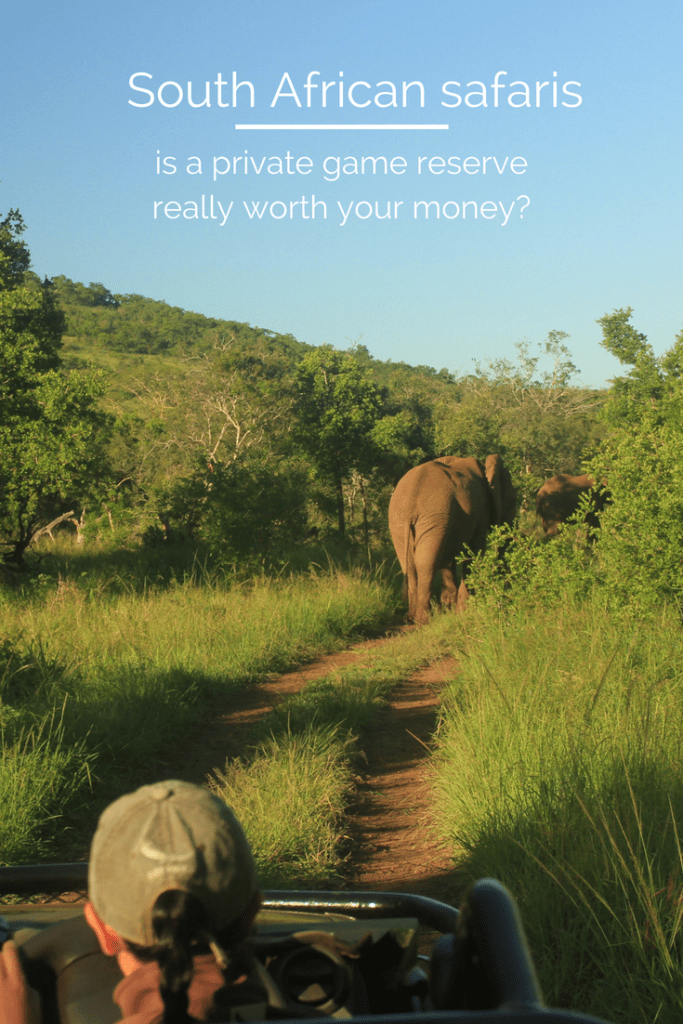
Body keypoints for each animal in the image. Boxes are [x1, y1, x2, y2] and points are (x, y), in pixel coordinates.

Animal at [389, 455, 517, 625]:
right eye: (513, 500)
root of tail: (410, 505)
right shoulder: (481, 510)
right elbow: (475, 551)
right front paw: (464, 612)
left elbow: (448, 558)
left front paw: (450, 609)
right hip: (434, 515)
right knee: (425, 562)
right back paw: (424, 619)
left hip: (400, 521)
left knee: (409, 564)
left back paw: (411, 617)